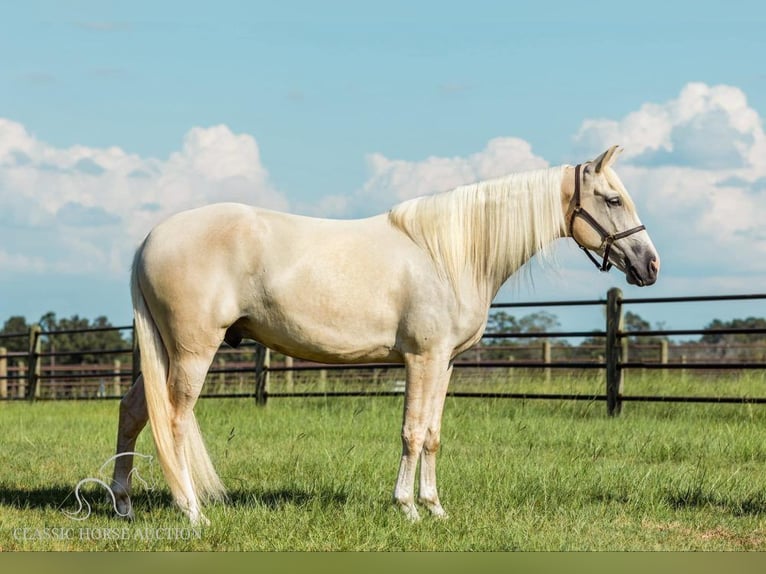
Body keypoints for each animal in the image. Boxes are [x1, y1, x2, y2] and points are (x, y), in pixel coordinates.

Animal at [111, 145, 664, 528]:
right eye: (613, 199)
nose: (650, 265)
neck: (450, 254)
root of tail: (148, 241)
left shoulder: (445, 363)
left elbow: (434, 434)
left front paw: (435, 507)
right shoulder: (422, 358)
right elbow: (412, 431)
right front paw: (407, 508)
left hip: (164, 353)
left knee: (134, 410)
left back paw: (124, 505)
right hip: (192, 351)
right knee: (174, 419)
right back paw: (192, 511)